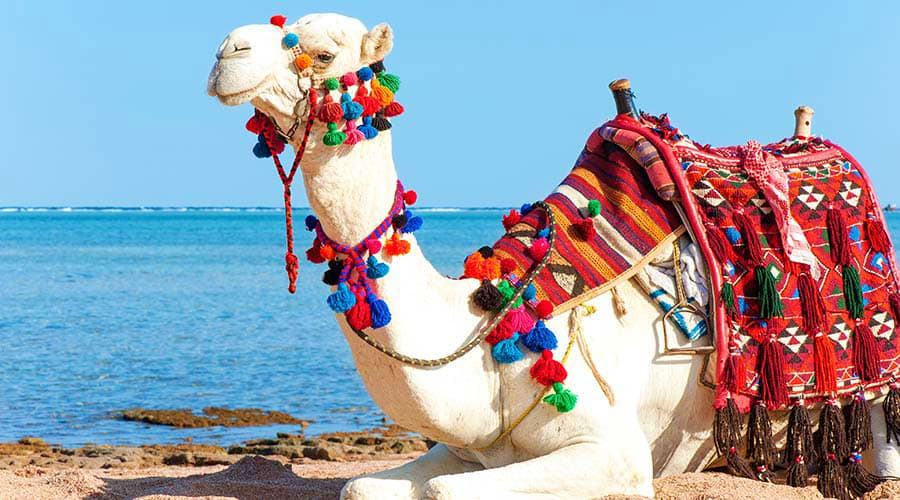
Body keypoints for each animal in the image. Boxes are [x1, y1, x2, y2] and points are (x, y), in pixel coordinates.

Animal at [207, 13, 900, 499]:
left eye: (324, 52)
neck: (496, 326)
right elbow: (362, 485)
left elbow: (444, 490)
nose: (226, 52)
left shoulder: (615, 452)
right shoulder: (473, 446)